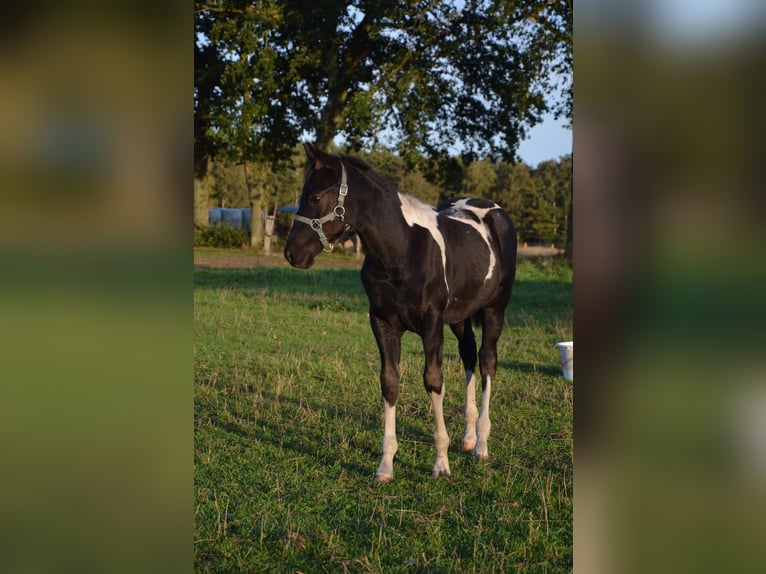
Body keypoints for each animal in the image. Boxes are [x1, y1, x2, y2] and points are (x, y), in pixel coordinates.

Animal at [285, 143, 517, 482]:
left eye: (314, 197)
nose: (292, 253)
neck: (402, 250)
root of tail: (495, 209)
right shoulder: (383, 323)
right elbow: (389, 382)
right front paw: (385, 466)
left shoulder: (431, 324)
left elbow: (433, 380)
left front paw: (441, 463)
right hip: (460, 317)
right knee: (469, 357)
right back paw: (469, 437)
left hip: (494, 310)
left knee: (487, 361)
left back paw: (481, 445)